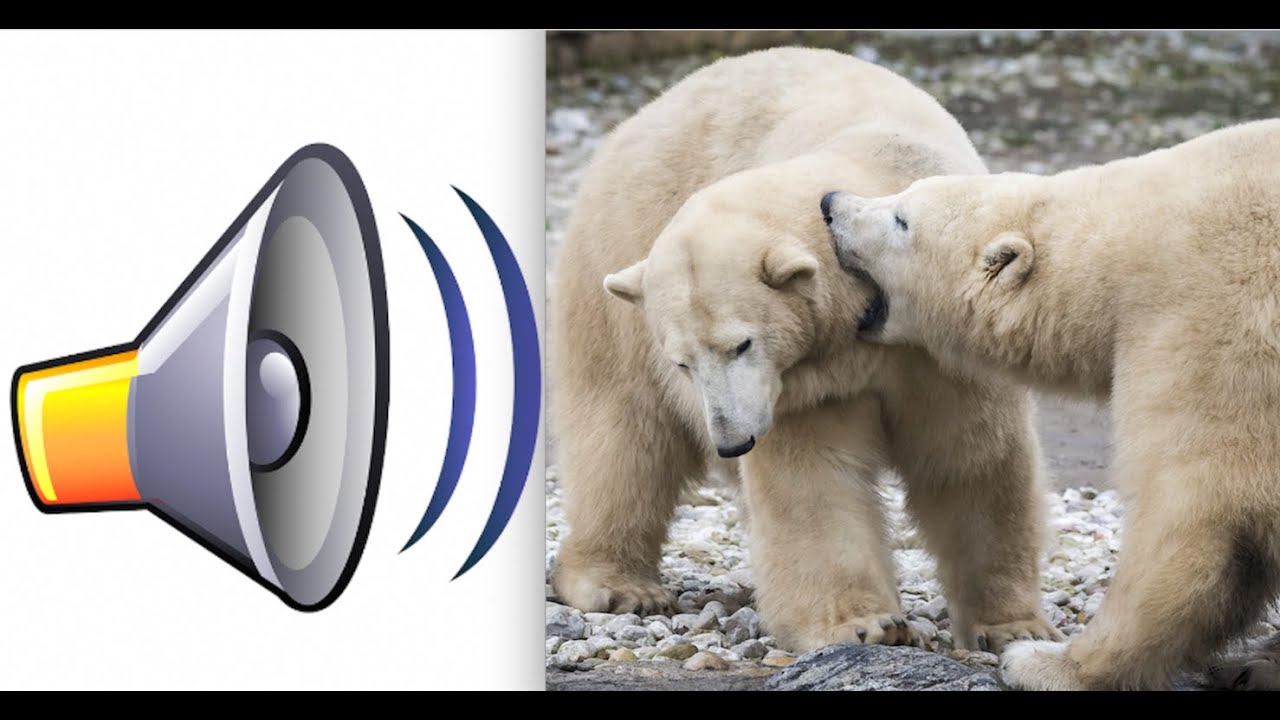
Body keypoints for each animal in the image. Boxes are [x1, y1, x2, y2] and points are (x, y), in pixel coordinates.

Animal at [549, 46, 1061, 653]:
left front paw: (1012, 625)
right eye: (684, 362)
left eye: (741, 344)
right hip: (612, 265)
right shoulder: (804, 383)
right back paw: (618, 587)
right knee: (624, 434)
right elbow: (816, 477)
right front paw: (866, 624)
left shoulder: (938, 341)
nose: (732, 442)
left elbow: (972, 459)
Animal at [822, 118, 1280, 689]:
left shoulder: (1213, 313)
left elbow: (1196, 507)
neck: (1124, 243)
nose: (830, 203)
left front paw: (1047, 662)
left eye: (902, 219)